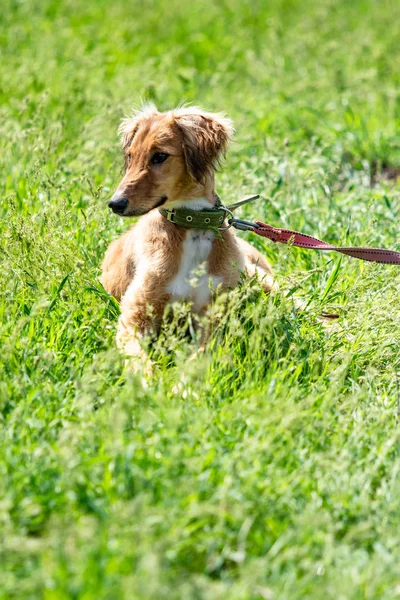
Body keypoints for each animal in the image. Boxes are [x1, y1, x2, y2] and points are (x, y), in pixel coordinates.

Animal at [101, 105, 274, 364]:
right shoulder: (134, 315)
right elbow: (140, 361)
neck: (192, 227)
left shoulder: (210, 317)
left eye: (159, 156)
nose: (115, 204)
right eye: (130, 155)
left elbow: (199, 358)